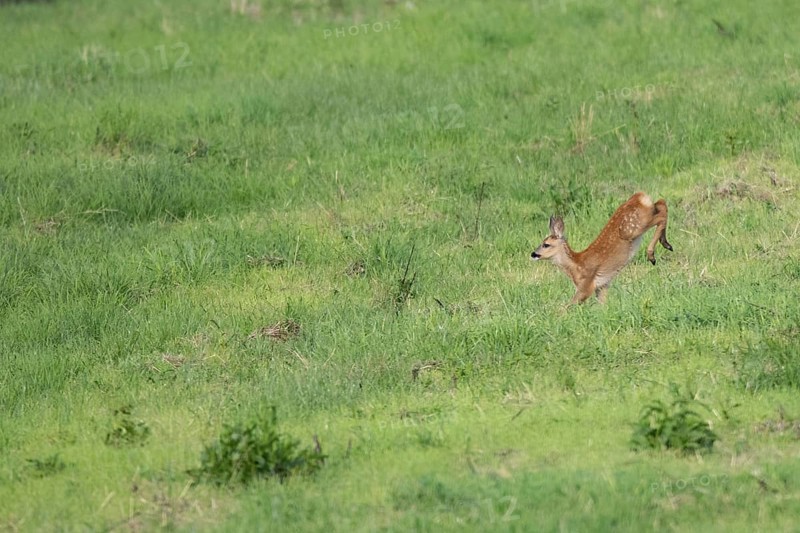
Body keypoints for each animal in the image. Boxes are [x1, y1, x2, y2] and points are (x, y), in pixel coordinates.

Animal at [530, 192, 673, 305]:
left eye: (546, 244)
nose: (533, 254)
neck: (576, 266)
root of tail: (639, 196)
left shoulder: (586, 286)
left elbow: (566, 307)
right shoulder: (602, 286)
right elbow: (602, 306)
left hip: (634, 229)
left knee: (661, 215)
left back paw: (652, 254)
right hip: (645, 216)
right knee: (661, 203)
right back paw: (665, 243)